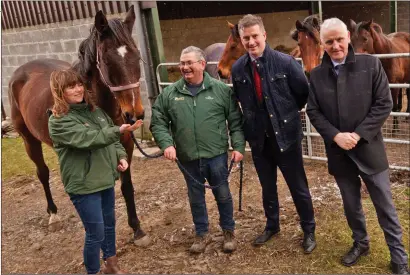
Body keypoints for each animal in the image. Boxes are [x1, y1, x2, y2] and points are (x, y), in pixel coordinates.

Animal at [8, 5, 150, 246]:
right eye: (106, 61)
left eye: (136, 56)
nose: (134, 114)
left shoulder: (126, 145)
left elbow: (126, 186)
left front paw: (138, 229)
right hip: (28, 139)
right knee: (42, 172)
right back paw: (53, 214)